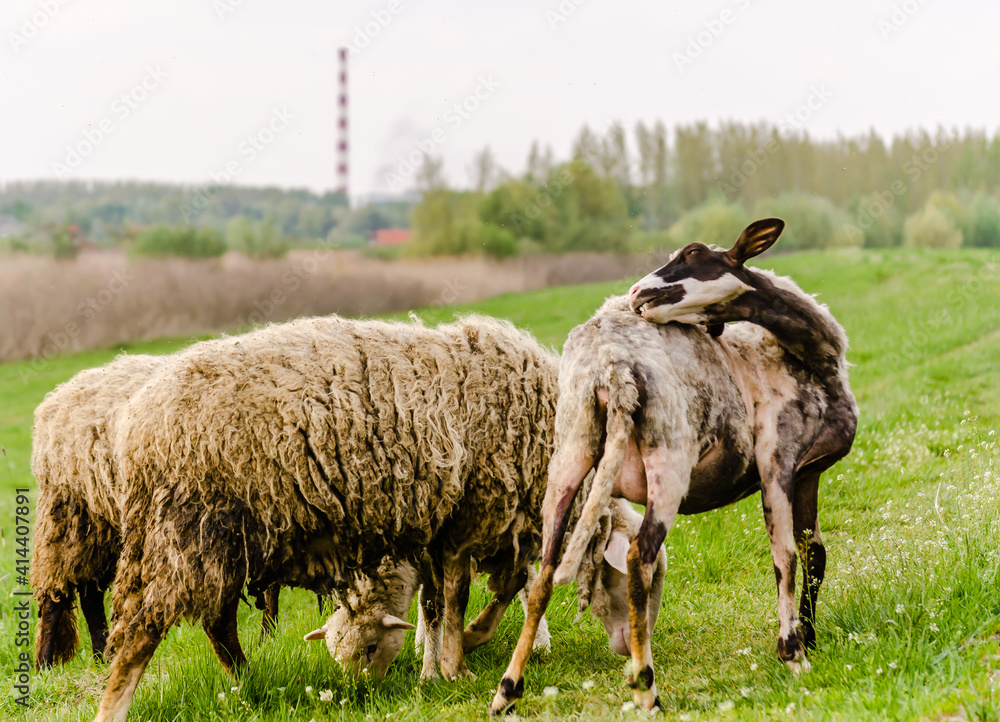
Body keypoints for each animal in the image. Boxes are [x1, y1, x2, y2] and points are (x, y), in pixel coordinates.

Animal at [94, 312, 563, 721]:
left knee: (215, 622)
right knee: (144, 631)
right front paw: (458, 661)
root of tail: (133, 428)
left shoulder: (450, 526)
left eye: (370, 650)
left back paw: (247, 682)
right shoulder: (479, 513)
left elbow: (460, 596)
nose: (361, 695)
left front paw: (447, 660)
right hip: (193, 528)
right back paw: (116, 708)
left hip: (213, 539)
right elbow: (466, 595)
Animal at [490, 219, 858, 714]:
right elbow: (787, 557)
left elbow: (815, 553)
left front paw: (811, 635)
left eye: (695, 253)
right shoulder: (777, 463)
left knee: (545, 573)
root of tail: (610, 364)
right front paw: (793, 650)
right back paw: (646, 689)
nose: (636, 293)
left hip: (569, 454)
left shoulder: (809, 471)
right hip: (668, 460)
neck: (810, 354)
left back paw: (507, 691)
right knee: (638, 558)